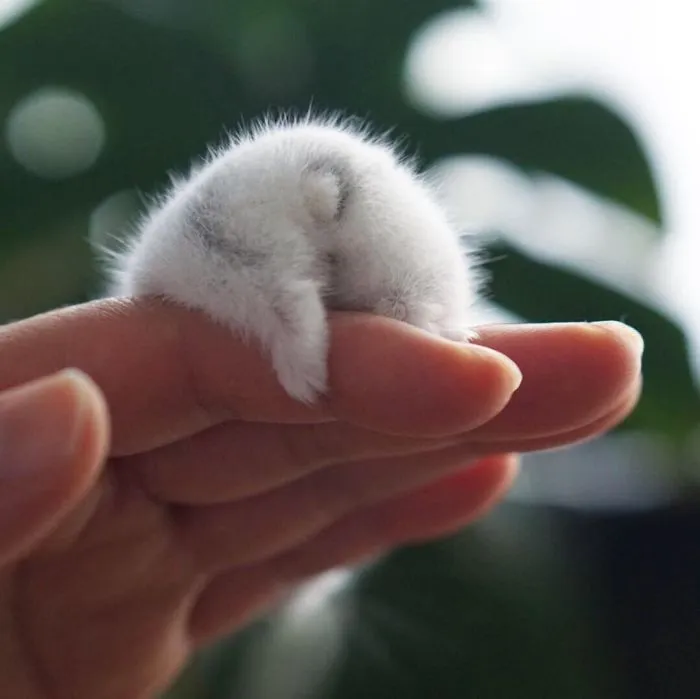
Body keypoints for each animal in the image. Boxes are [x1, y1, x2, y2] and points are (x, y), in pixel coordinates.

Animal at [108, 115, 482, 403]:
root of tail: (310, 178)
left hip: (228, 257)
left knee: (286, 300)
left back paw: (305, 385)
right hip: (393, 249)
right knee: (402, 305)